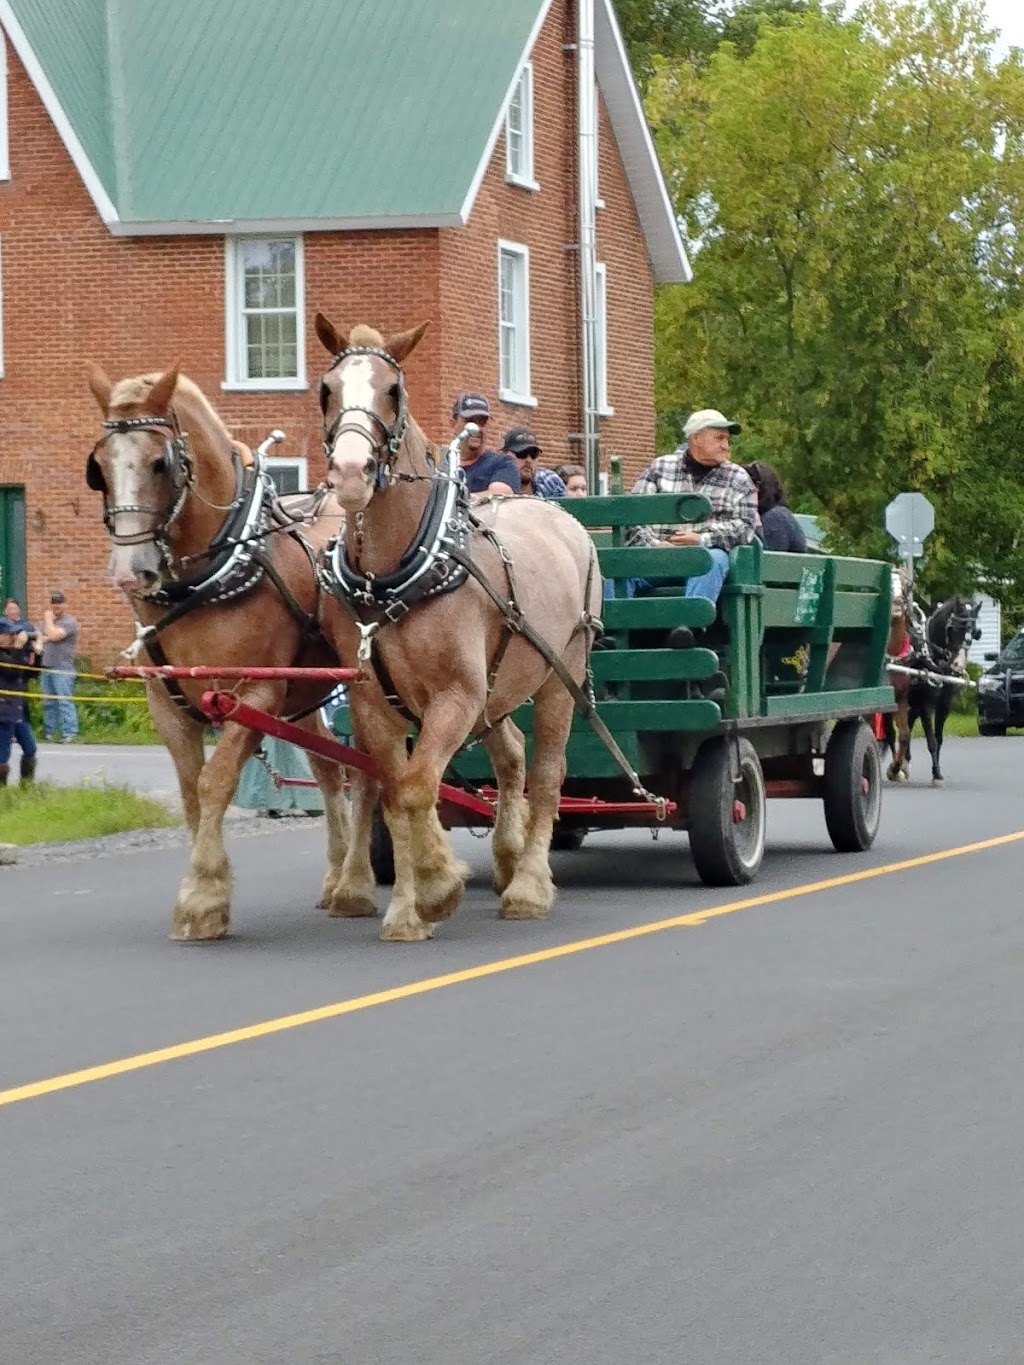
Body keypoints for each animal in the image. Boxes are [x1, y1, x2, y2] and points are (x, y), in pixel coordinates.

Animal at [86, 363, 363, 939]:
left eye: (160, 462)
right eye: (98, 468)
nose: (129, 572)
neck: (204, 581)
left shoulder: (254, 693)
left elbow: (216, 782)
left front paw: (202, 897)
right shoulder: (167, 704)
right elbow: (192, 792)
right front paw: (203, 892)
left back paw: (356, 880)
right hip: (307, 695)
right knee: (333, 770)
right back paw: (336, 878)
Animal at [316, 316, 606, 939]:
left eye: (393, 390)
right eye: (327, 389)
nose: (350, 473)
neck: (393, 577)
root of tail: (561, 515)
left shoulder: (455, 694)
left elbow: (416, 787)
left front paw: (437, 887)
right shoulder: (372, 702)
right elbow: (394, 792)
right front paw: (407, 910)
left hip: (560, 675)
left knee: (547, 772)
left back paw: (528, 886)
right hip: (495, 690)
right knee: (512, 755)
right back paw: (507, 857)